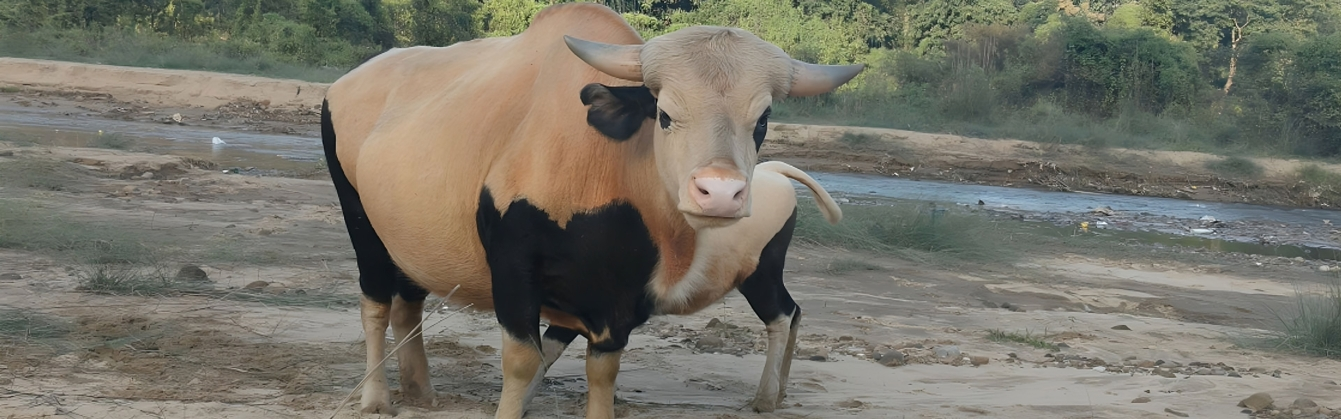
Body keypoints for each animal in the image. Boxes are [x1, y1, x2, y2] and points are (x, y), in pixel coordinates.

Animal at [319, 3, 862, 418]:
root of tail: (346, 84)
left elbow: (601, 372)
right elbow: (523, 362)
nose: (720, 192)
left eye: (763, 119)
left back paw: (421, 391)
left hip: (410, 241)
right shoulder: (513, 271)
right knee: (376, 303)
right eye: (664, 114)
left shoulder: (617, 302)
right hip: (362, 223)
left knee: (409, 303)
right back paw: (376, 397)